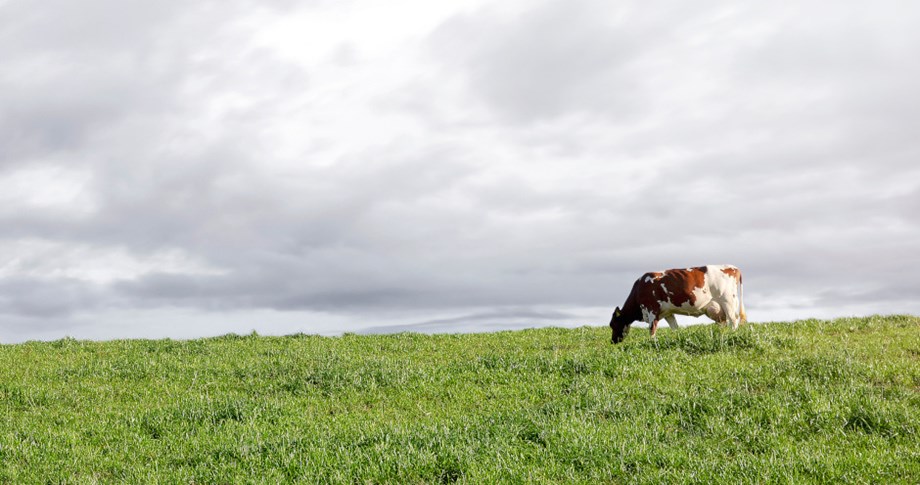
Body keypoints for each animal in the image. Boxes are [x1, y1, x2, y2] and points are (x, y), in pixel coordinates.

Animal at [612, 266, 748, 342]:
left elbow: (652, 329)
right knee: (724, 322)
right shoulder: (667, 313)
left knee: (734, 320)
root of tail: (733, 267)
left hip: (728, 301)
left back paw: (731, 335)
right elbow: (674, 328)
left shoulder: (651, 309)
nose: (612, 341)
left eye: (613, 324)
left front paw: (651, 342)